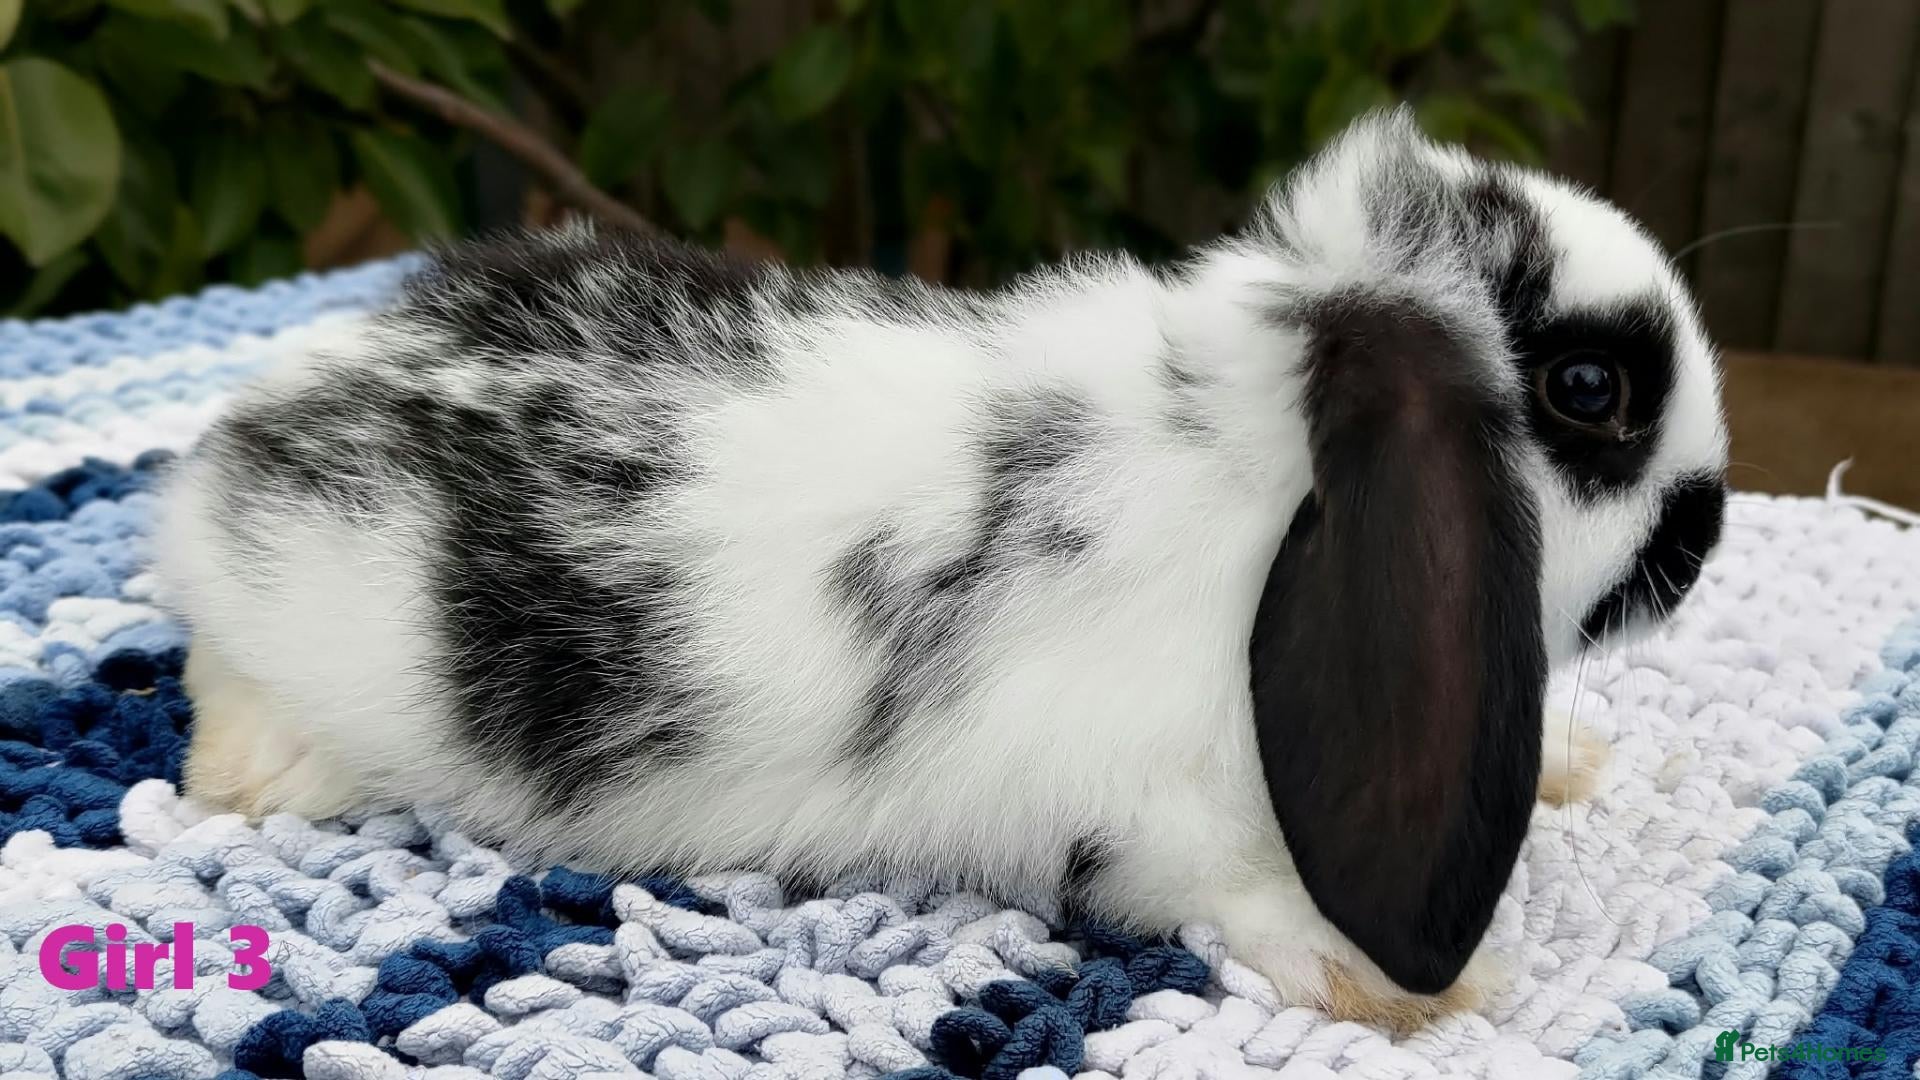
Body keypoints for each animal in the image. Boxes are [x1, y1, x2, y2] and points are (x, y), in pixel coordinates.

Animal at [153, 108, 1727, 1029]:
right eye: (1591, 388)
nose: (1706, 532)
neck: (1259, 485)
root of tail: (250, 421)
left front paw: (1570, 763)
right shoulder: (1149, 794)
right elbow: (1231, 882)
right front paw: (1420, 987)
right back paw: (254, 771)